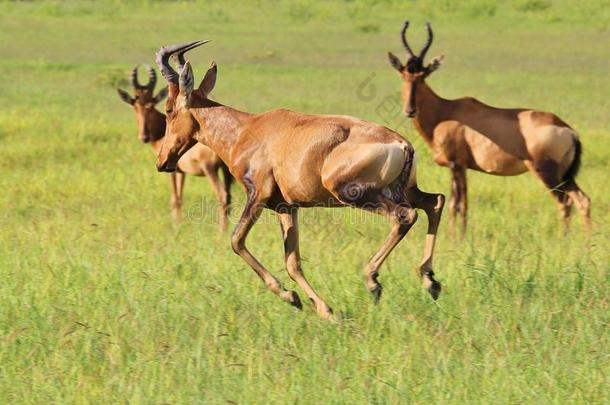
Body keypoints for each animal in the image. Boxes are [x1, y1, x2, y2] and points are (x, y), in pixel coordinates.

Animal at [117, 63, 233, 227]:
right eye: (135, 106)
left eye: (151, 105)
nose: (144, 136)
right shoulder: (181, 171)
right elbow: (180, 196)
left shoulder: (171, 169)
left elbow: (175, 198)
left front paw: (176, 226)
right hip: (227, 172)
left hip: (210, 169)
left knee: (222, 195)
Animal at [154, 40, 444, 318]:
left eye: (168, 109)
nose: (162, 161)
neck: (247, 129)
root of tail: (402, 143)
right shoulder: (285, 206)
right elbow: (292, 263)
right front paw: (321, 309)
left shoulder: (257, 194)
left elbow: (236, 240)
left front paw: (290, 296)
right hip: (404, 190)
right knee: (435, 202)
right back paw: (430, 281)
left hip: (353, 192)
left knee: (405, 216)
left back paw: (372, 280)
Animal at [384, 20, 588, 232]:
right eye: (403, 74)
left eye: (423, 75)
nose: (410, 110)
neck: (446, 110)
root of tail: (570, 131)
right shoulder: (462, 167)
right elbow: (460, 203)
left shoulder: (456, 165)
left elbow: (457, 204)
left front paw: (455, 236)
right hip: (565, 175)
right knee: (582, 199)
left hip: (546, 172)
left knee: (564, 202)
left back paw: (564, 236)